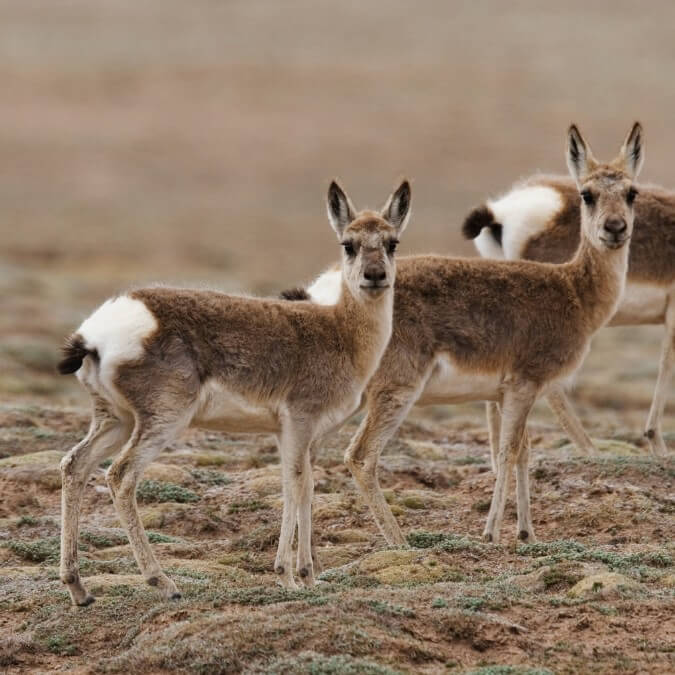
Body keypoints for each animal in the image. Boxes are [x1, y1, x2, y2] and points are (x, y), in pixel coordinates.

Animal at [56, 179, 411, 605]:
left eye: (391, 242)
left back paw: (79, 588)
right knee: (120, 476)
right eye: (349, 244)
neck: (339, 330)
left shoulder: (299, 436)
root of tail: (96, 332)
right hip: (162, 424)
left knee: (75, 465)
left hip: (116, 422)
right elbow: (299, 486)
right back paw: (163, 582)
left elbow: (300, 487)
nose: (375, 276)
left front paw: (303, 576)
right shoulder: (299, 424)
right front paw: (293, 575)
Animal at [285, 123, 643, 546]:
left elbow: (522, 452)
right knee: (360, 456)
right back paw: (402, 545)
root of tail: (327, 293)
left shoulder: (510, 395)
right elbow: (506, 452)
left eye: (631, 192)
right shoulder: (524, 386)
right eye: (586, 194)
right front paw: (491, 532)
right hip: (395, 395)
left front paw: (527, 533)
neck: (572, 288)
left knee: (308, 458)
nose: (615, 229)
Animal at [463, 130, 673, 458]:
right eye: (587, 195)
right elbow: (666, 366)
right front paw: (659, 447)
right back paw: (591, 452)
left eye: (632, 193)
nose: (615, 228)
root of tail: (501, 212)